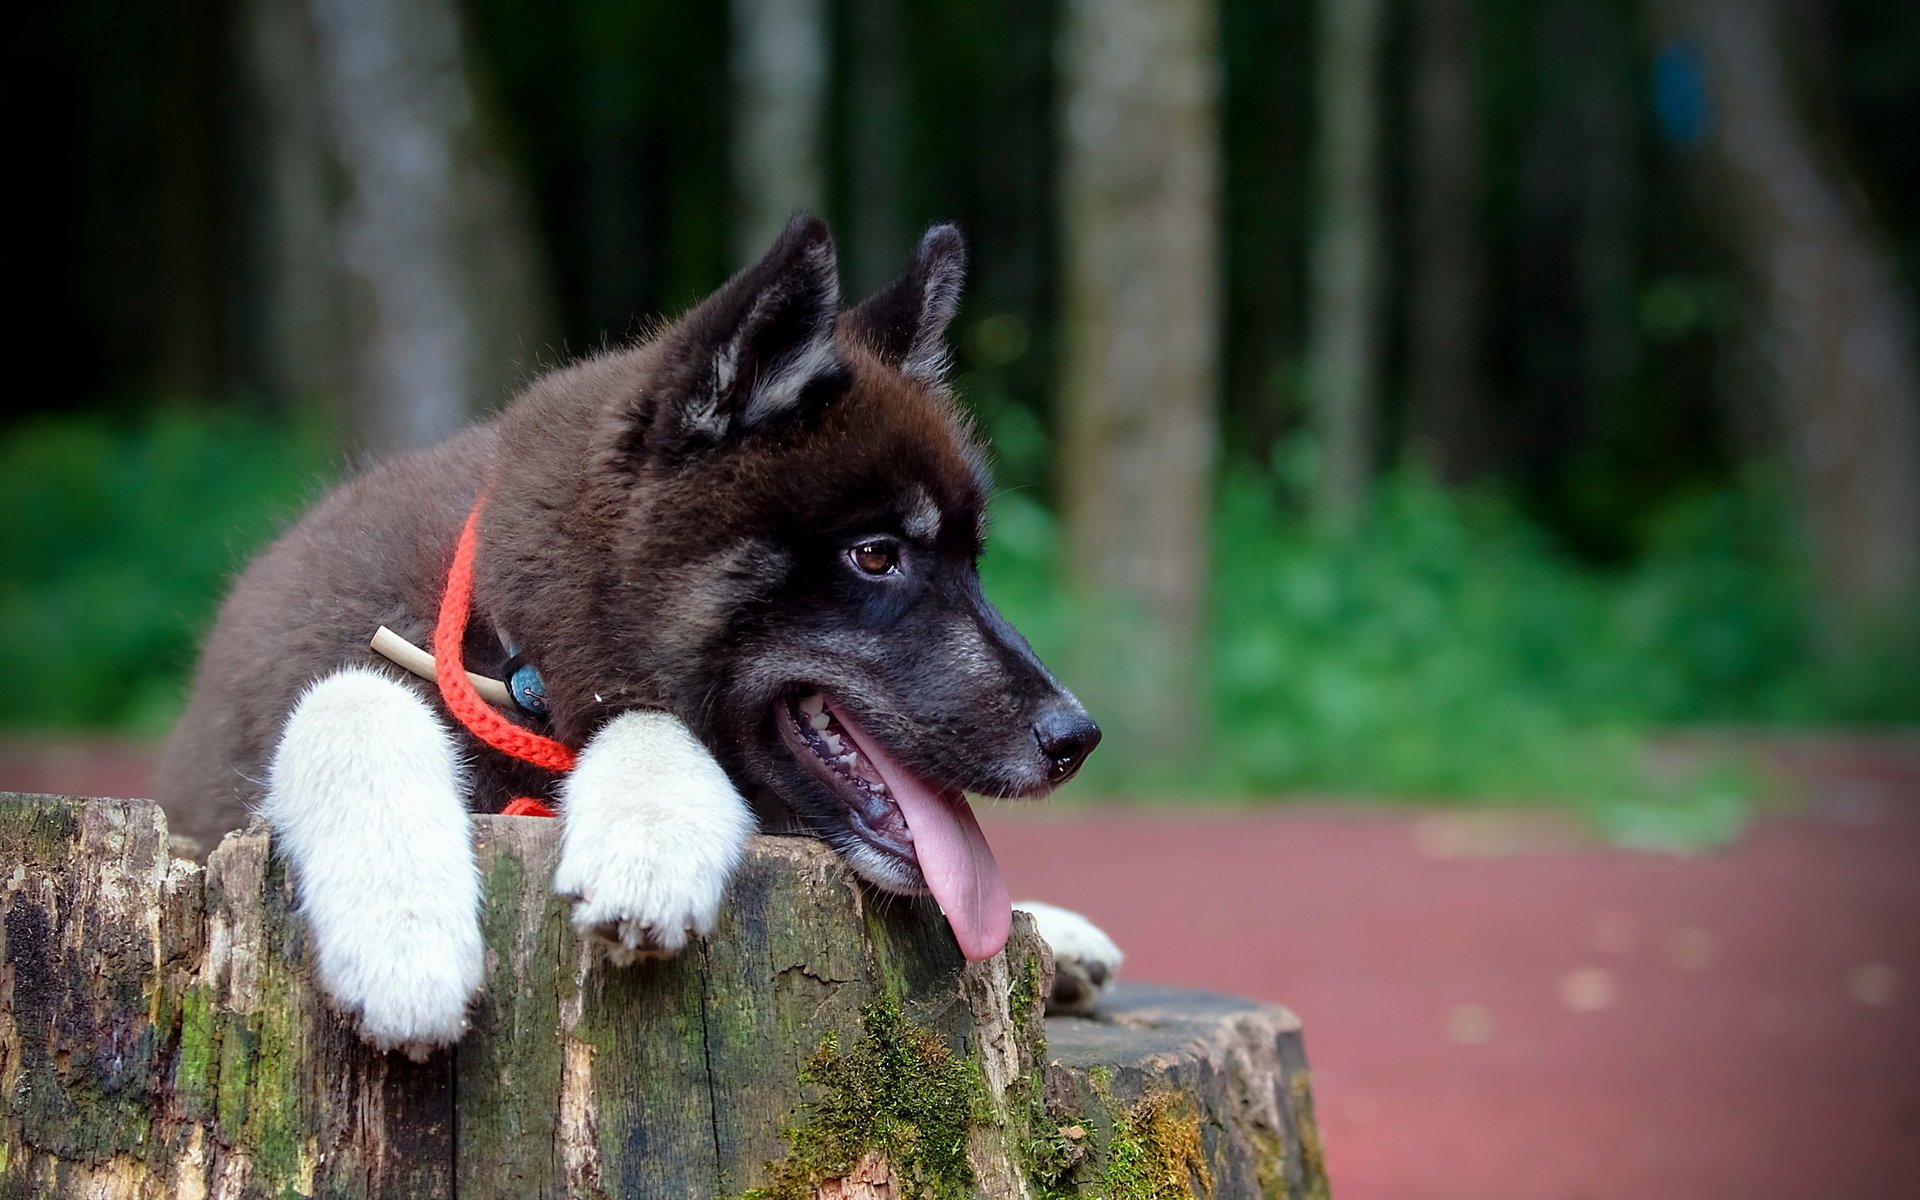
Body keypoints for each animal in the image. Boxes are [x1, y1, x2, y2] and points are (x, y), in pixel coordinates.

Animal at [165, 217, 1128, 1059]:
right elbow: (351, 694)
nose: (1076, 739)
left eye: (973, 562)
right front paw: (403, 934)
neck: (512, 657)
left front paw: (647, 829)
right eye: (875, 555)